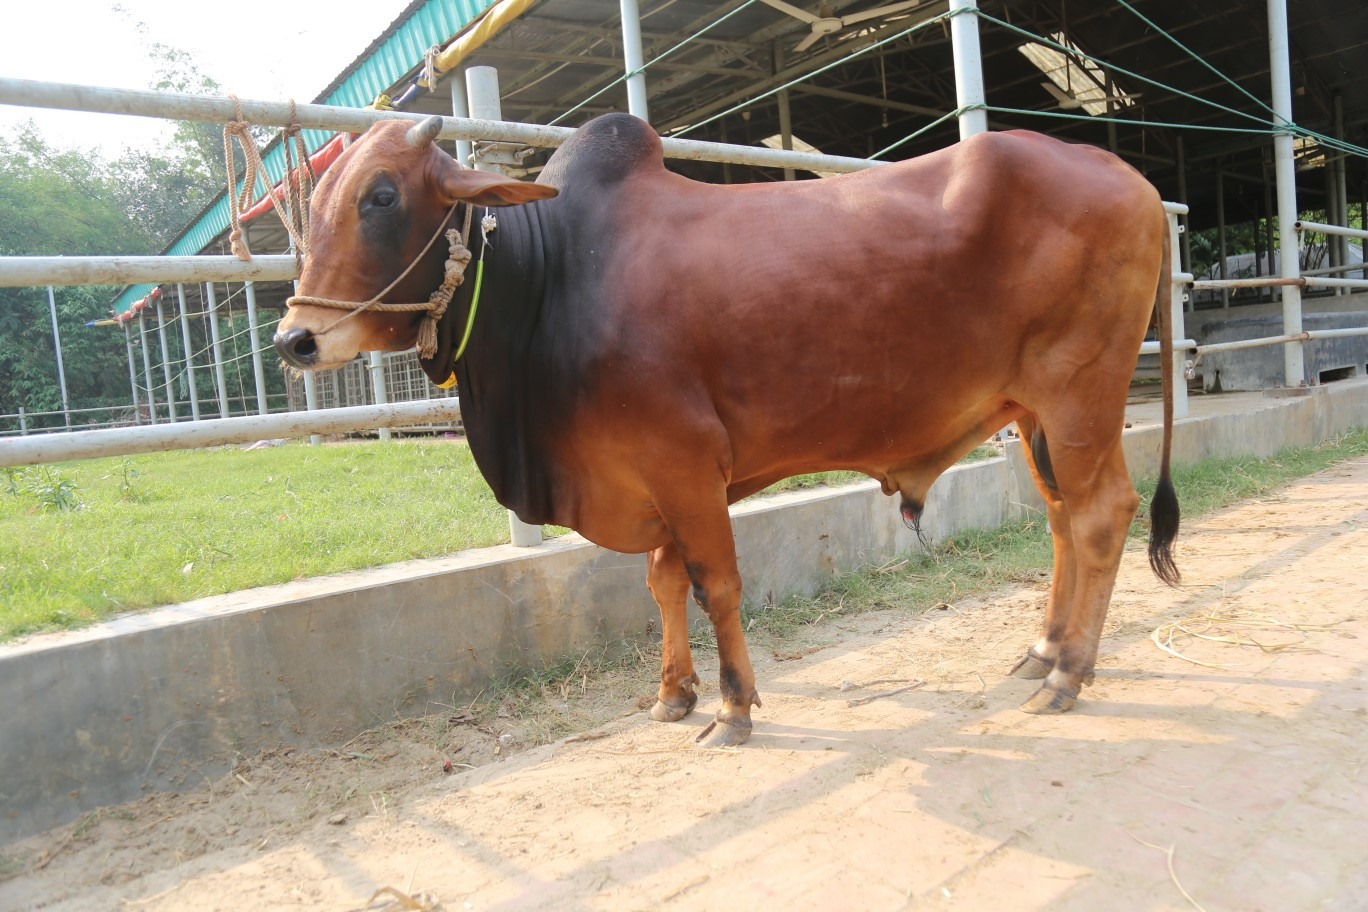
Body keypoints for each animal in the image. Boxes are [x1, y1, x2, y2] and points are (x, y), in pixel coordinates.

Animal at [274, 113, 1179, 748]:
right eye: (317, 203)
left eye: (382, 195)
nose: (295, 338)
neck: (558, 276)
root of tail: (1127, 175)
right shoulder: (654, 480)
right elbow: (663, 582)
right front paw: (672, 694)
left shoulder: (682, 464)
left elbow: (716, 584)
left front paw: (734, 706)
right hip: (1034, 418)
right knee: (1061, 519)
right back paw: (1043, 649)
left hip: (1080, 398)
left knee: (1102, 516)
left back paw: (1069, 675)